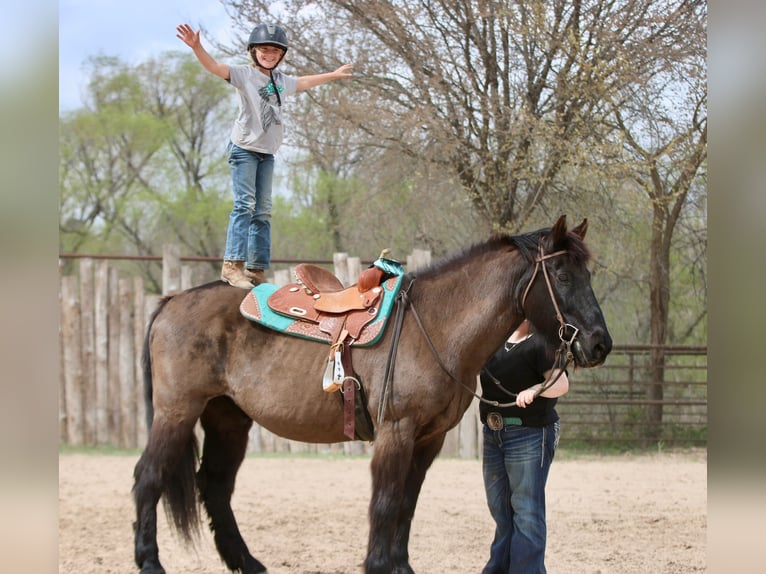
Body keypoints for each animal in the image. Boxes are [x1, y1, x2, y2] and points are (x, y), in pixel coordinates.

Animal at [132, 215, 612, 574]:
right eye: (562, 273)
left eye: (587, 273)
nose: (599, 343)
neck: (434, 325)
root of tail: (172, 302)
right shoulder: (396, 432)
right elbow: (385, 504)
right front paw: (380, 566)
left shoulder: (428, 439)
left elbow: (406, 505)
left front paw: (401, 567)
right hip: (177, 413)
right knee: (149, 478)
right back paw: (150, 562)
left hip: (228, 419)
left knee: (215, 486)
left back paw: (248, 563)